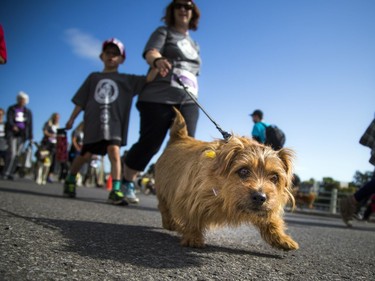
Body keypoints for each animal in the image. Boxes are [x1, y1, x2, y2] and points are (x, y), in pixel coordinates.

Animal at [156, 108, 300, 250]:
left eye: (274, 177)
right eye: (243, 171)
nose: (260, 197)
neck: (225, 196)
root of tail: (179, 138)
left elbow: (271, 219)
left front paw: (282, 239)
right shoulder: (189, 196)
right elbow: (192, 217)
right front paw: (193, 237)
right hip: (164, 187)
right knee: (164, 207)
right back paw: (170, 223)